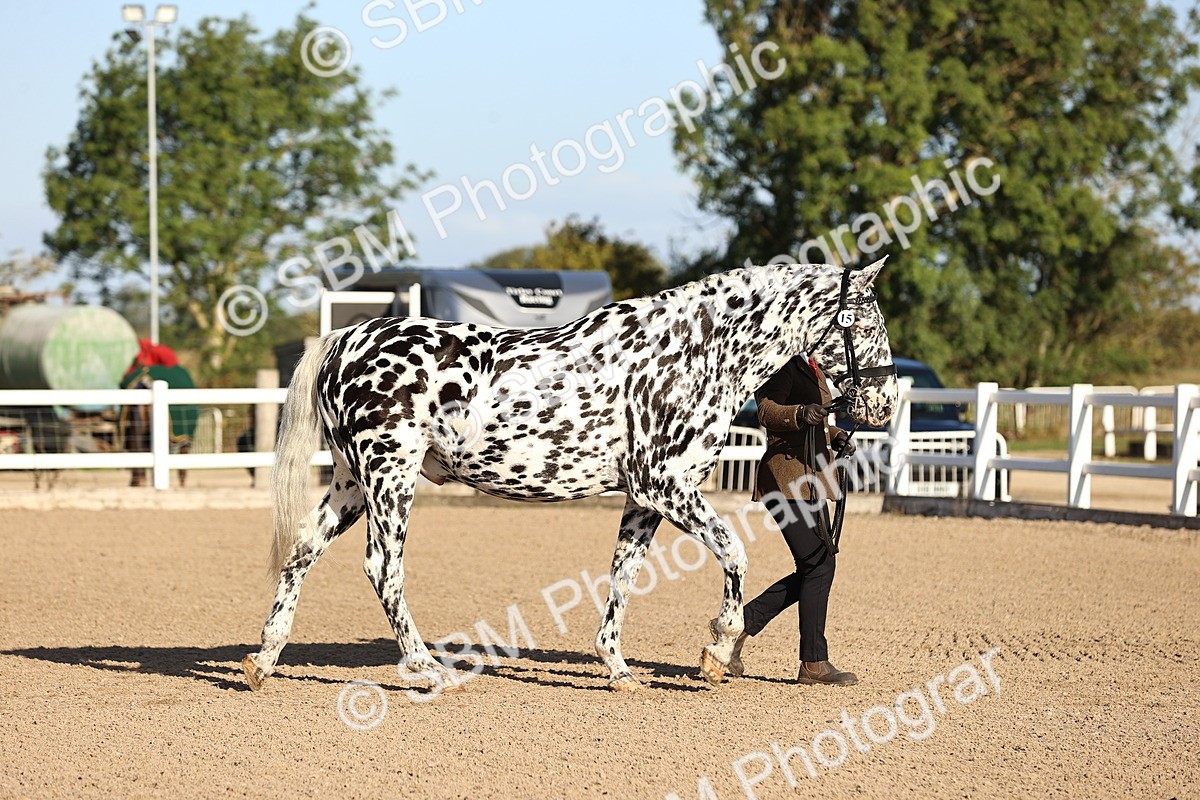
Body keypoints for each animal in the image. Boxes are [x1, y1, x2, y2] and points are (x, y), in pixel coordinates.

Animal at [242, 258, 899, 693]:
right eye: (867, 325)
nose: (884, 406)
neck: (692, 356)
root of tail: (346, 337)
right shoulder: (668, 487)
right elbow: (734, 553)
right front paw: (716, 650)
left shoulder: (645, 500)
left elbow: (623, 576)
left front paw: (619, 671)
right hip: (390, 478)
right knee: (382, 568)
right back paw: (426, 669)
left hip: (350, 484)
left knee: (301, 551)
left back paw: (262, 662)